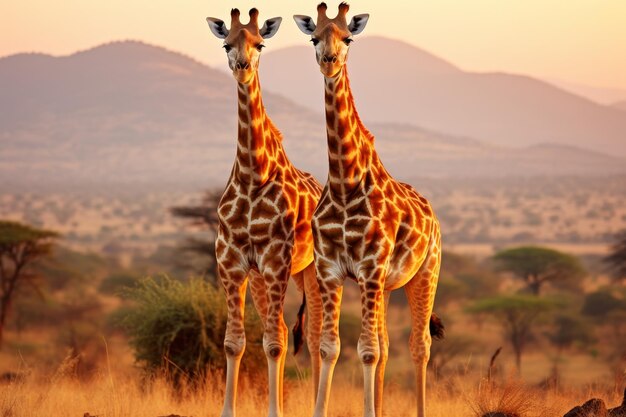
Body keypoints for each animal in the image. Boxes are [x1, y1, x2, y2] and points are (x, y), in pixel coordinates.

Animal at [206, 8, 322, 416]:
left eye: (259, 44)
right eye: (226, 44)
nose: (242, 67)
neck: (253, 174)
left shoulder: (276, 260)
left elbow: (272, 343)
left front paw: (275, 410)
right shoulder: (231, 261)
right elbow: (233, 342)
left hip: (311, 272)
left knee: (311, 337)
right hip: (262, 277)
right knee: (288, 331)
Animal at [294, 4, 444, 416]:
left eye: (348, 37)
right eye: (314, 38)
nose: (329, 61)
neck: (345, 183)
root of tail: (434, 216)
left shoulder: (369, 268)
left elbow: (366, 351)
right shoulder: (331, 270)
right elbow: (332, 348)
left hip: (424, 273)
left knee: (418, 346)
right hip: (386, 286)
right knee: (388, 347)